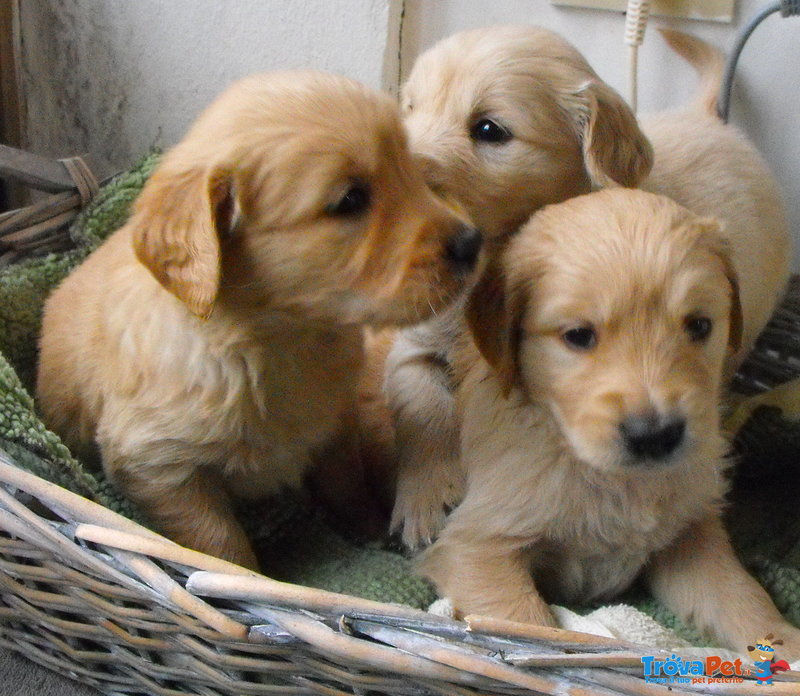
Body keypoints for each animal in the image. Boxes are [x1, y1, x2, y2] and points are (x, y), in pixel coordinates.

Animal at [37, 72, 482, 572]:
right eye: (351, 200)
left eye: (409, 167)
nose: (472, 243)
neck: (279, 340)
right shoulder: (157, 464)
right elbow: (219, 544)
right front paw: (242, 574)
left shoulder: (335, 423)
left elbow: (346, 484)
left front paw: (368, 528)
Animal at [386, 25, 788, 548]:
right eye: (410, 109)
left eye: (489, 129)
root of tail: (709, 120)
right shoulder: (416, 344)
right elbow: (423, 411)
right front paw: (426, 499)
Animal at [418, 188, 800, 656]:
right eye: (578, 335)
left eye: (699, 325)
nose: (655, 436)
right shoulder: (477, 546)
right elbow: (529, 625)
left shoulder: (691, 535)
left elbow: (739, 593)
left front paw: (784, 642)